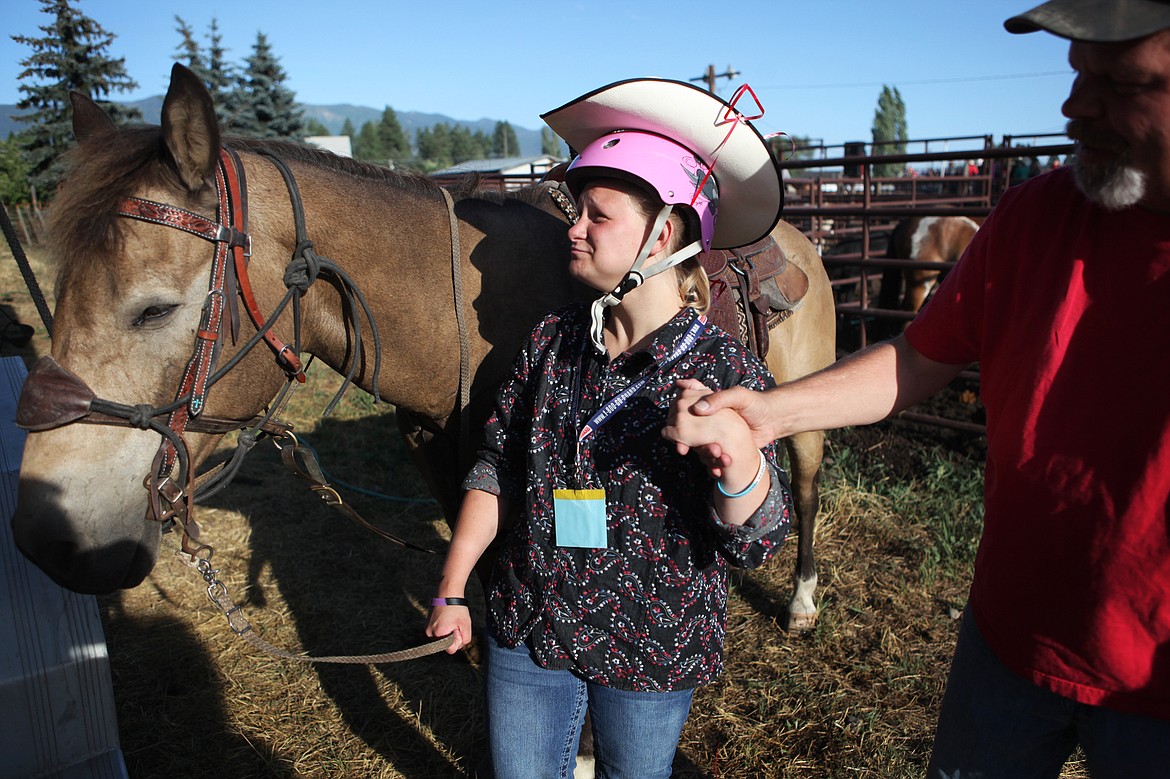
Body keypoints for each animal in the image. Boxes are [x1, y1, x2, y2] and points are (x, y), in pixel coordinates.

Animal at [13, 65, 842, 631]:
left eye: (154, 309)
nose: (46, 539)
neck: (464, 334)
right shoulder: (455, 480)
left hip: (803, 418)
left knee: (802, 492)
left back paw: (802, 597)